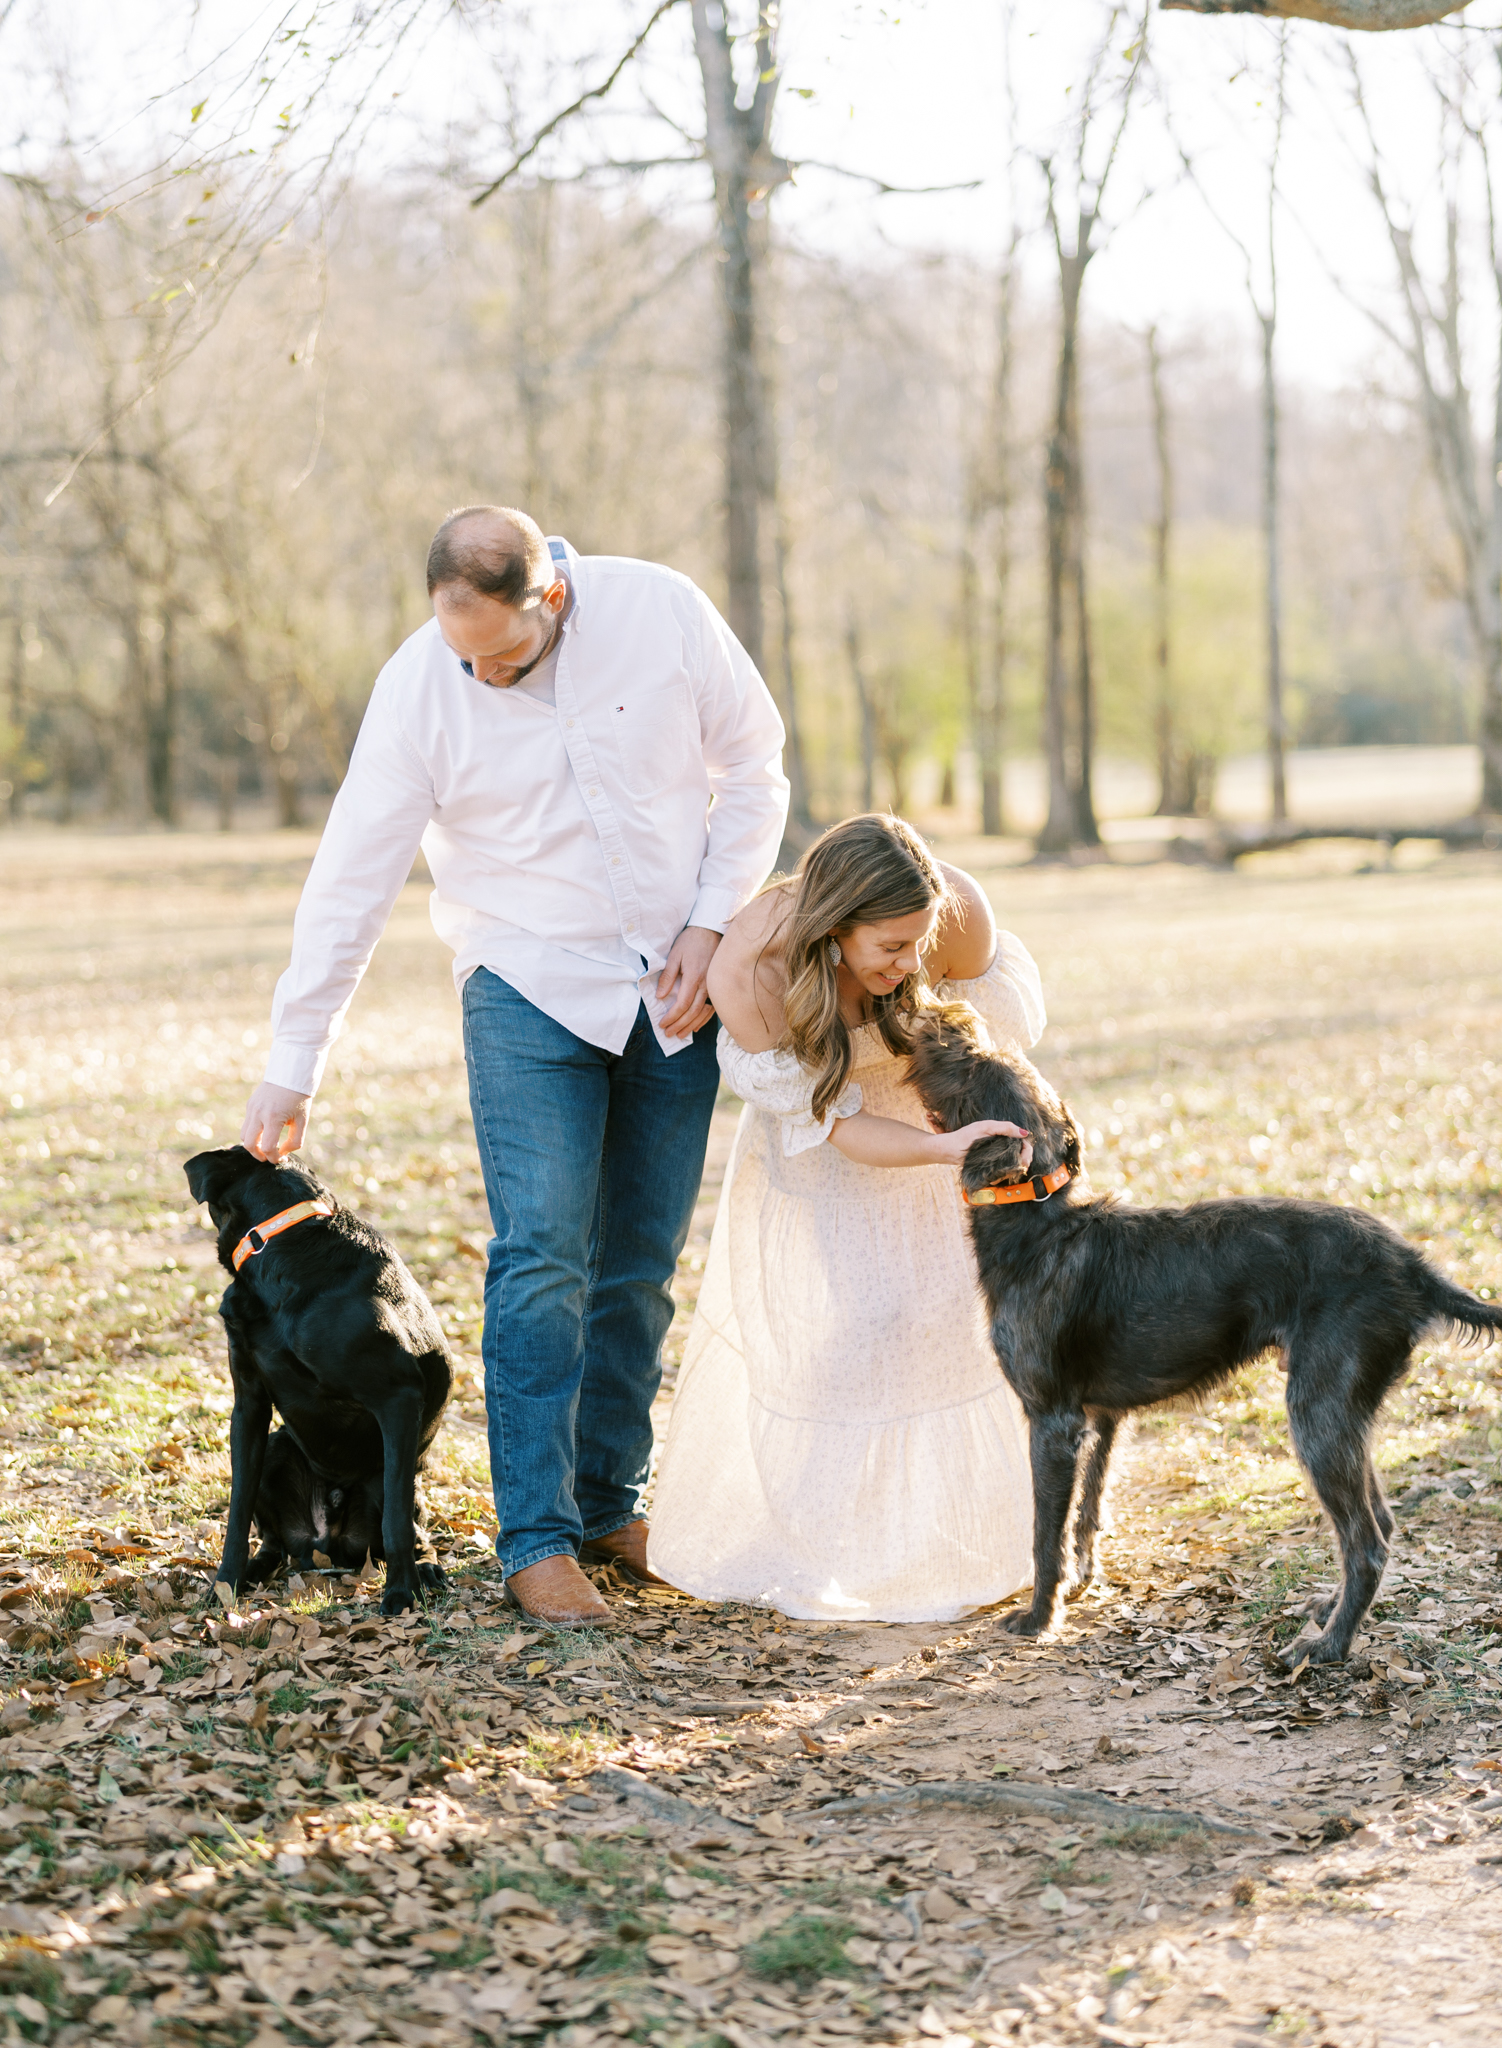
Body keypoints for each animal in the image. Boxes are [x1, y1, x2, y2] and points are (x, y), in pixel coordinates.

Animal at [183, 1146, 450, 1605]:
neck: (280, 1242)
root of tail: (325, 1547)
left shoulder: (398, 1396)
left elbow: (396, 1522)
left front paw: (402, 1594)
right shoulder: (249, 1406)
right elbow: (237, 1512)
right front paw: (225, 1586)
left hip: (388, 1477)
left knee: (413, 1527)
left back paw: (427, 1568)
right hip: (277, 1447)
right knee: (274, 1543)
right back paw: (255, 1570)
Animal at [909, 1015, 1491, 1671]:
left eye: (968, 1060)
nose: (940, 1017)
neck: (1038, 1221)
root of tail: (1411, 1264)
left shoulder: (1051, 1421)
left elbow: (1044, 1533)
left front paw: (1039, 1617)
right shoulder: (1098, 1419)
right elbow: (1088, 1511)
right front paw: (1082, 1582)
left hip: (1317, 1414)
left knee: (1366, 1543)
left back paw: (1326, 1646)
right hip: (1344, 1414)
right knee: (1382, 1524)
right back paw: (1329, 1610)